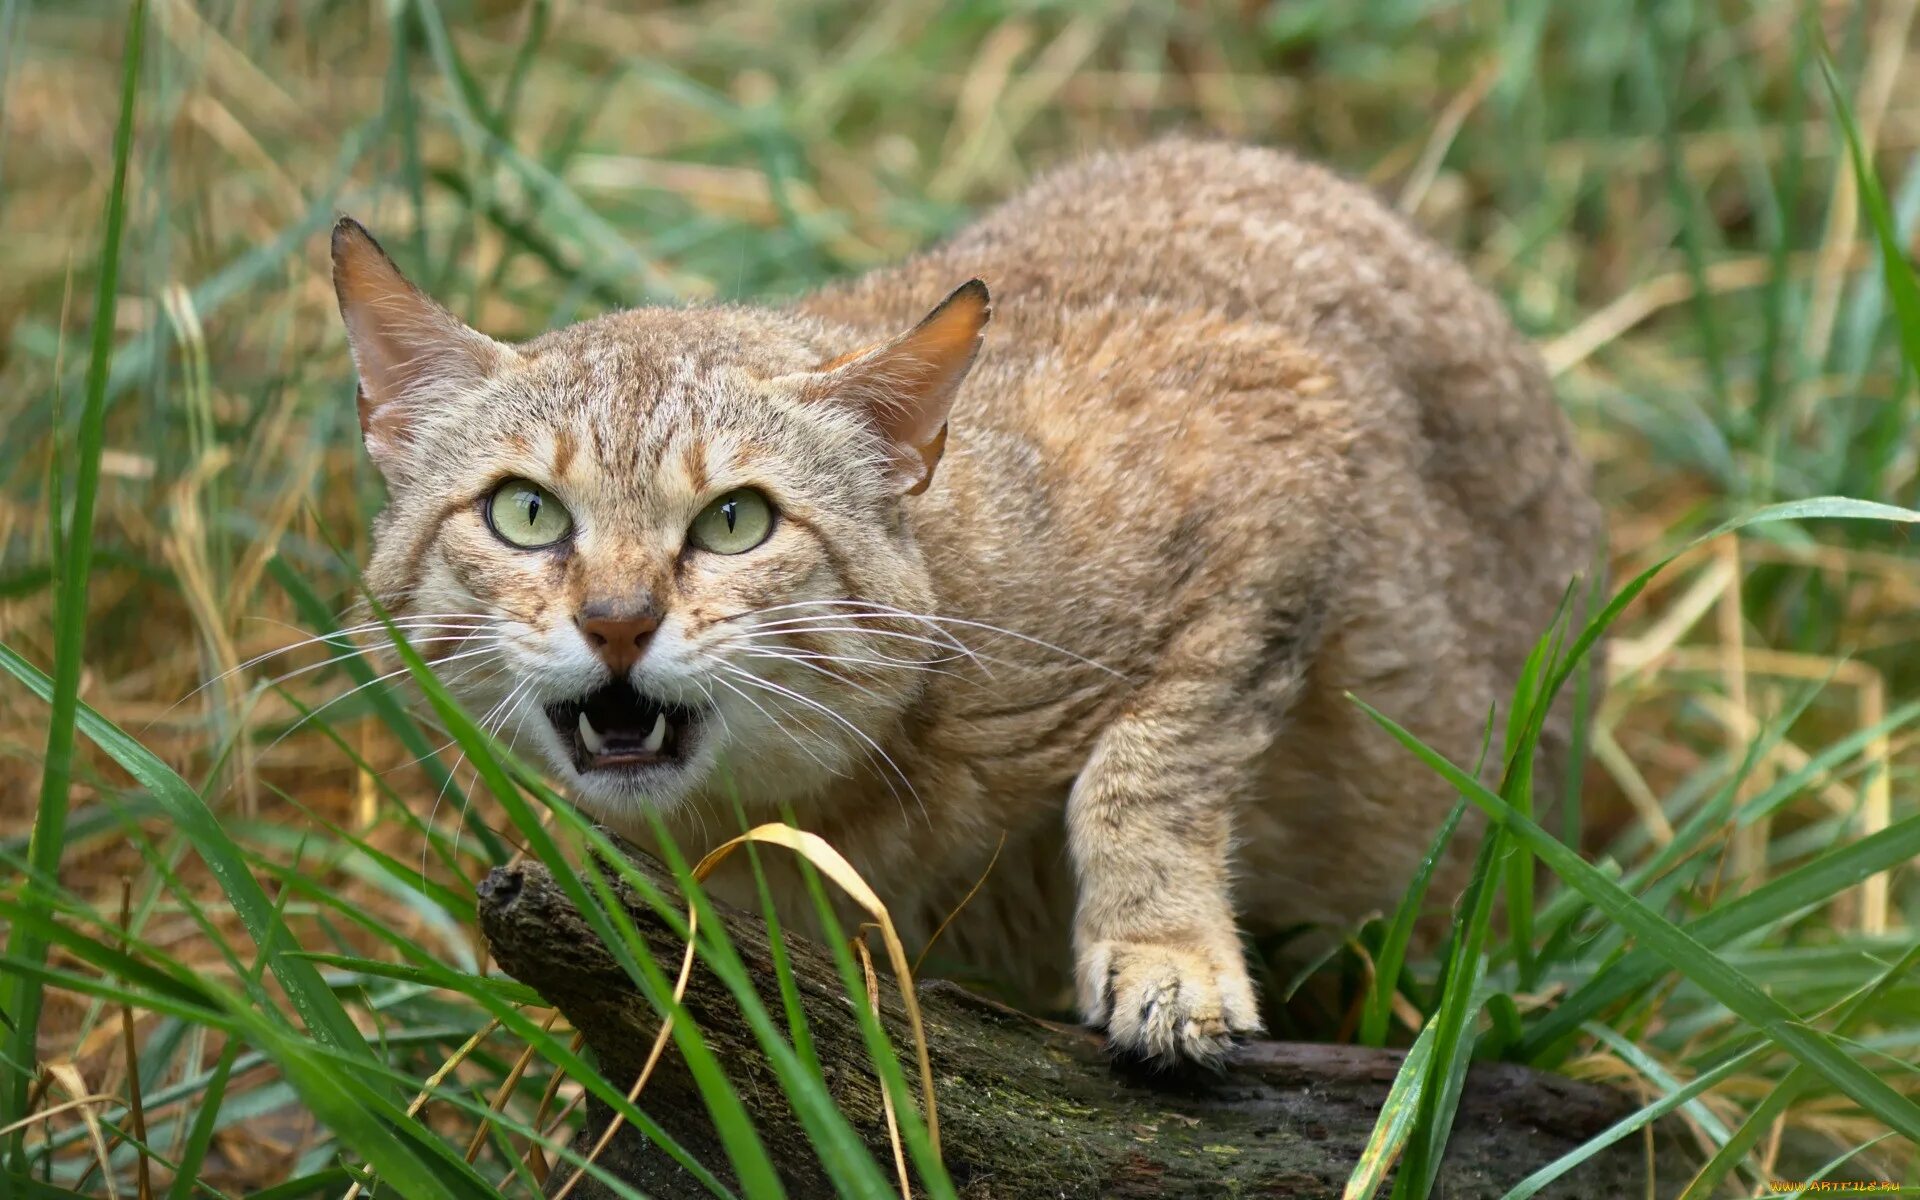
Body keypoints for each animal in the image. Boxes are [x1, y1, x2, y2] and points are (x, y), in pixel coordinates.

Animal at [334, 135, 1605, 1059]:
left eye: (736, 521)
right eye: (526, 513)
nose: (616, 621)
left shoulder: (1285, 441)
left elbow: (1151, 759)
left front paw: (1165, 952)